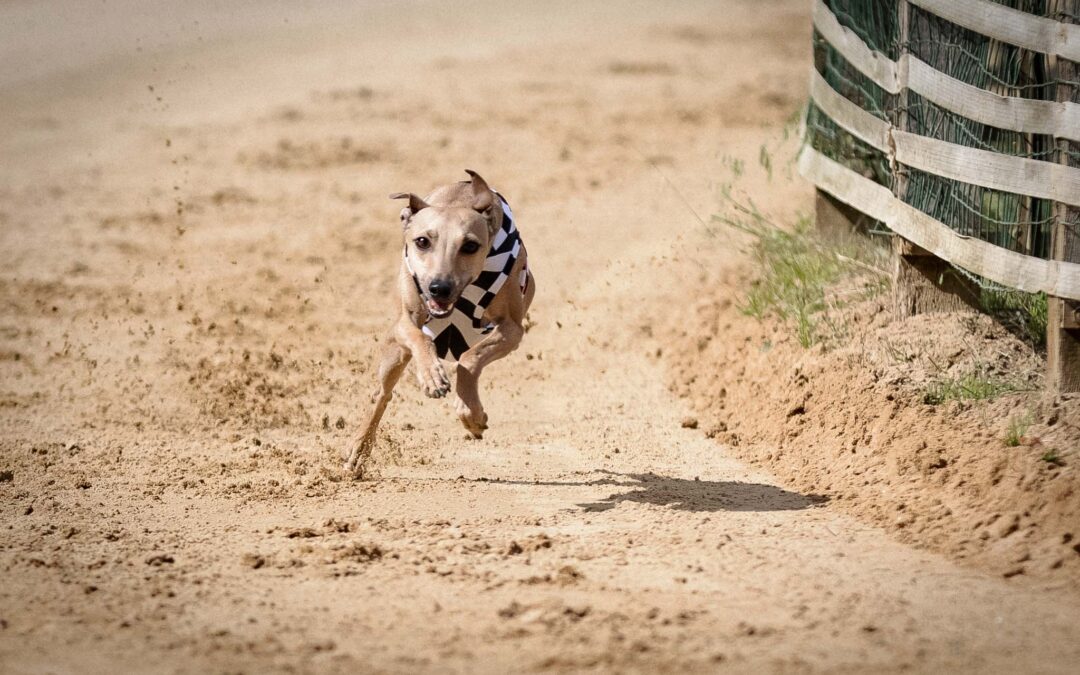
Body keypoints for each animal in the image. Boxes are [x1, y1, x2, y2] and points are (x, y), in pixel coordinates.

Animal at [343, 169, 533, 473]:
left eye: (470, 246)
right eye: (422, 241)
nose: (439, 288)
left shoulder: (512, 328)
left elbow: (469, 359)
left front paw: (472, 413)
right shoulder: (405, 319)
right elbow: (418, 336)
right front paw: (432, 377)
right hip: (393, 355)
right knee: (381, 394)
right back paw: (359, 448)